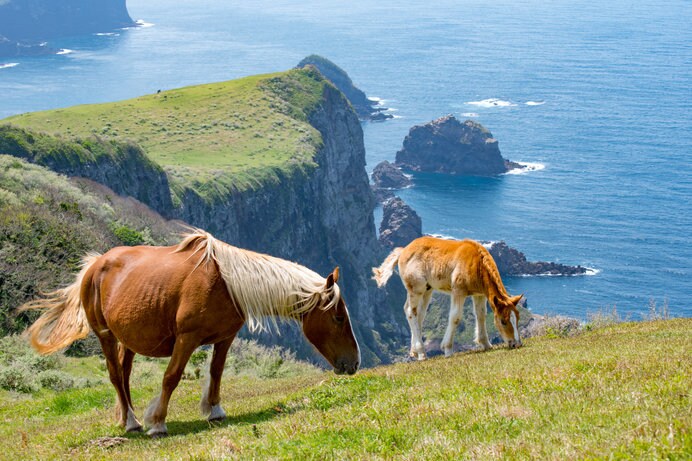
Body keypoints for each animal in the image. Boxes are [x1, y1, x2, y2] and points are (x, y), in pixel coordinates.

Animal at [23, 230, 356, 434]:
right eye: (339, 317)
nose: (353, 363)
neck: (226, 283)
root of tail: (95, 264)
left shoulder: (224, 338)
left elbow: (217, 372)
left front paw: (215, 410)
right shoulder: (187, 339)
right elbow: (171, 377)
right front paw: (158, 422)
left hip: (127, 339)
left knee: (125, 374)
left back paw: (128, 416)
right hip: (105, 334)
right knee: (116, 376)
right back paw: (131, 423)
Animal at [376, 237, 520, 360]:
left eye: (517, 319)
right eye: (503, 321)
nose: (516, 344)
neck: (476, 264)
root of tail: (404, 250)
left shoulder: (478, 294)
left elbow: (481, 315)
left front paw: (486, 344)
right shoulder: (458, 291)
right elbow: (455, 317)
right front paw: (447, 349)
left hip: (427, 290)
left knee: (418, 314)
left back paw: (414, 352)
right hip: (416, 289)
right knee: (411, 312)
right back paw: (422, 353)